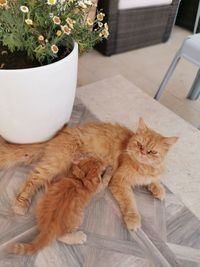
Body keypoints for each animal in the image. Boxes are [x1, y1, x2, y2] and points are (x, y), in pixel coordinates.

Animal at [0, 118, 178, 231]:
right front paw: (133, 219)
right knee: (32, 178)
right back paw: (21, 204)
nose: (142, 153)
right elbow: (130, 201)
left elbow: (154, 180)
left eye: (152, 151)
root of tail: (61, 134)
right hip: (57, 162)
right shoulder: (119, 181)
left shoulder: (149, 175)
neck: (143, 166)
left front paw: (159, 189)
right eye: (139, 144)